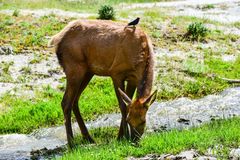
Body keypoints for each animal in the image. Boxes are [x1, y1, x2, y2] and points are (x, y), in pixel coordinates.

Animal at [48, 19, 158, 147]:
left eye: (143, 121)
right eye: (129, 120)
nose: (134, 140)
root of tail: (56, 39)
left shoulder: (133, 79)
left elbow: (128, 102)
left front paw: (121, 136)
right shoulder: (116, 73)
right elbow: (123, 106)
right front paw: (121, 138)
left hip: (87, 71)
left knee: (74, 100)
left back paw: (88, 138)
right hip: (74, 67)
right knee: (66, 102)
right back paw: (72, 144)